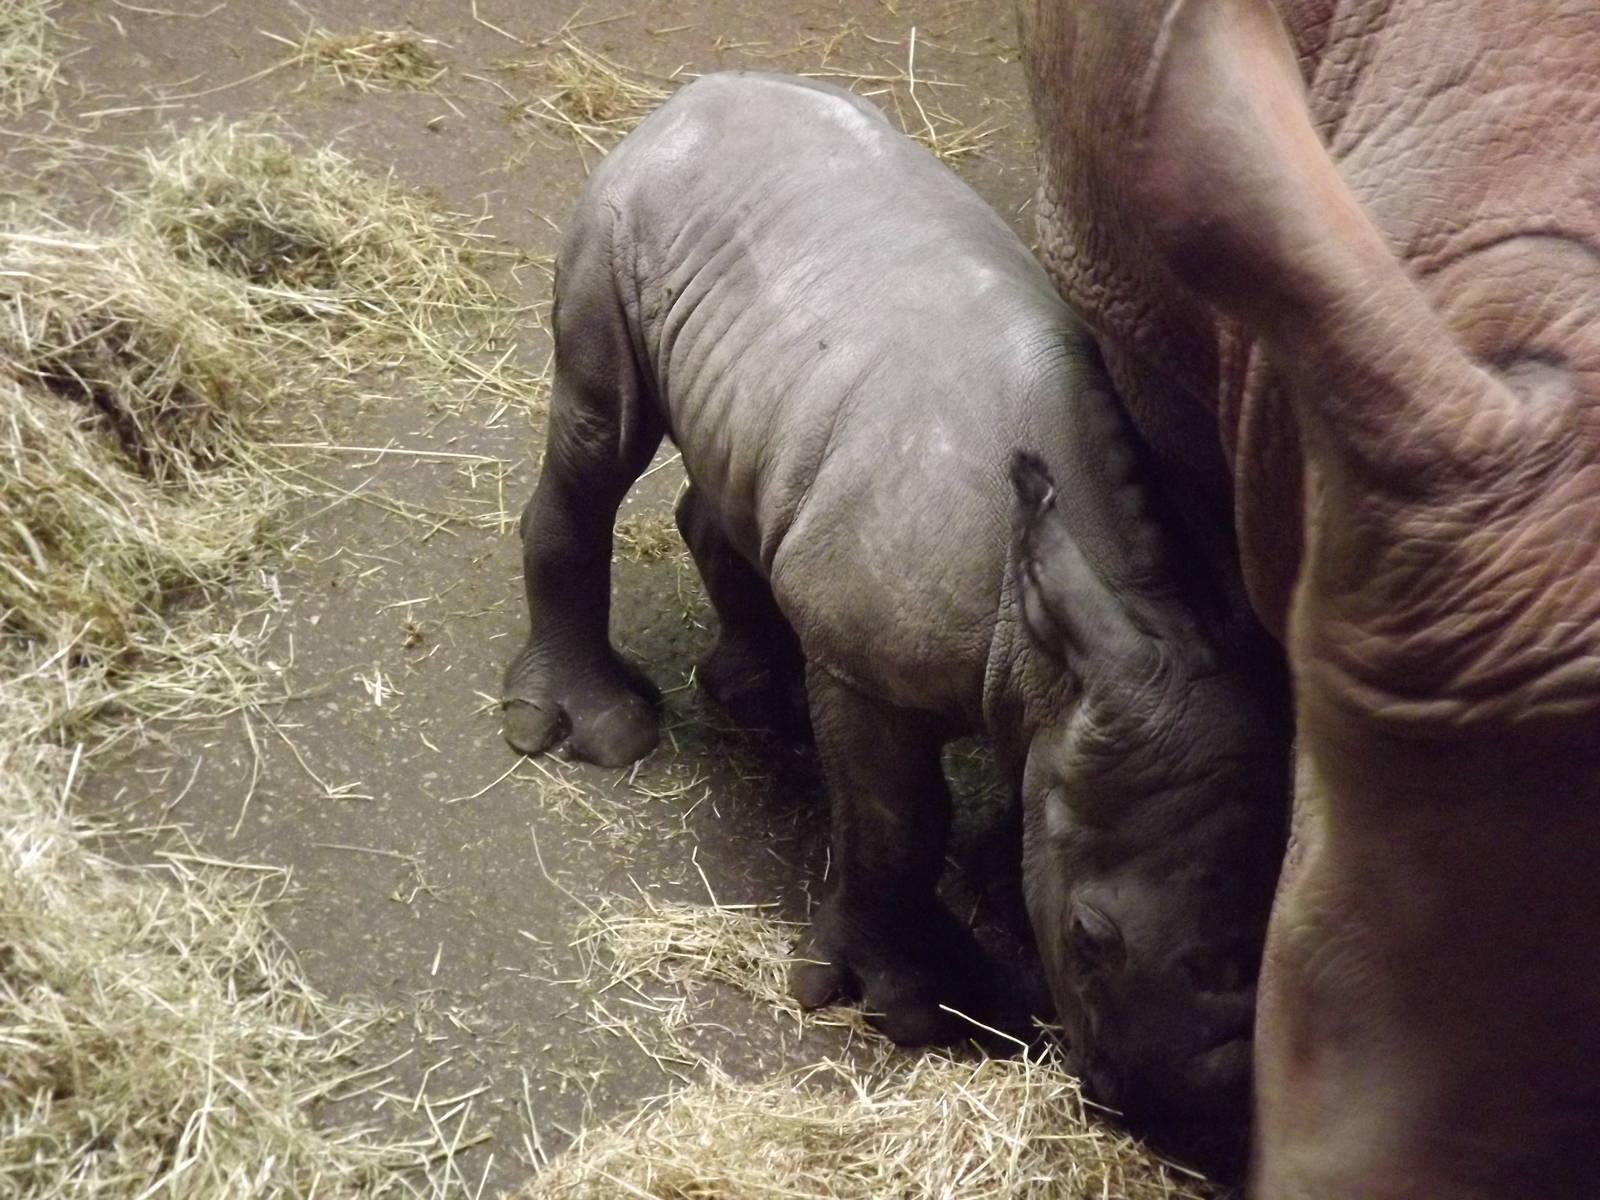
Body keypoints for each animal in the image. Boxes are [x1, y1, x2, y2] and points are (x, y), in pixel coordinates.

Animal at [501, 70, 1288, 1150]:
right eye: (1089, 938)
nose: (1196, 1120)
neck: (1139, 613)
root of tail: (691, 99)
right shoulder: (873, 671)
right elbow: (897, 819)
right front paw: (914, 1003)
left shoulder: (1081, 680)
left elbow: (1017, 788)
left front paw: (996, 878)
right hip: (621, 214)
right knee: (598, 432)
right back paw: (603, 732)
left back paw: (764, 704)